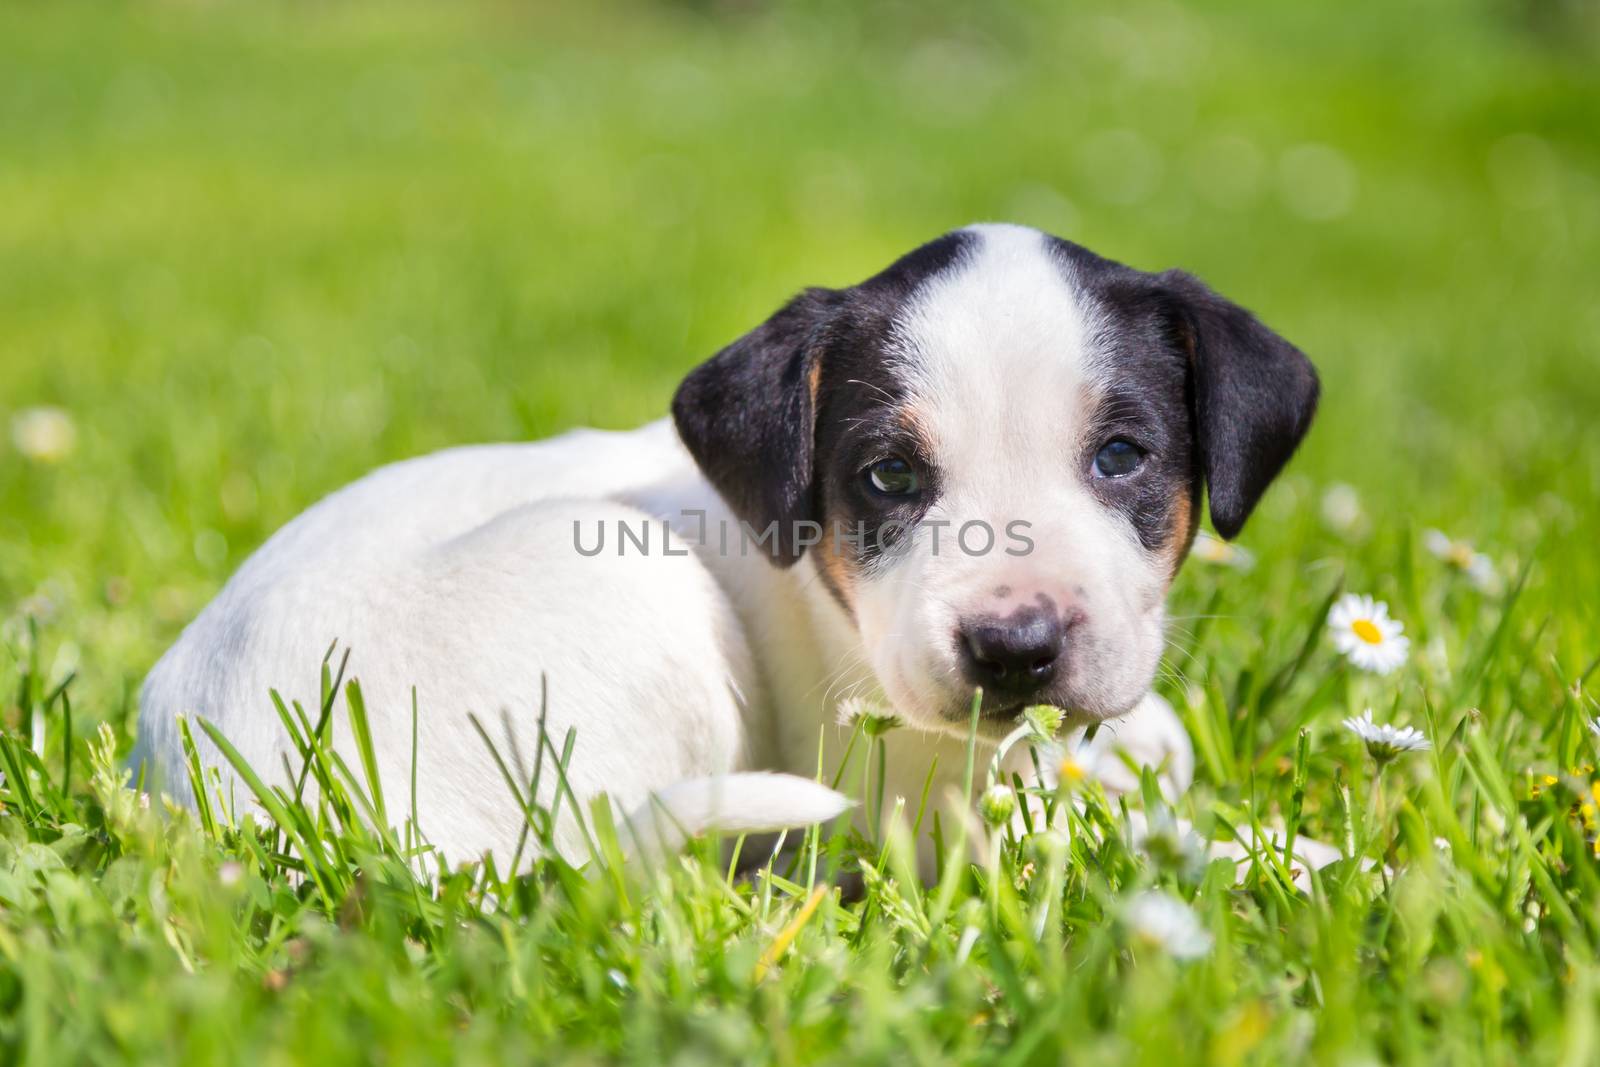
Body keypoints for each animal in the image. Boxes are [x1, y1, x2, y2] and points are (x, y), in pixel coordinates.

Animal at [137, 223, 1318, 870]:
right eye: (889, 477)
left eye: (1121, 456)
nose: (1015, 647)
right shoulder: (923, 811)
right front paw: (1296, 860)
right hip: (636, 584)